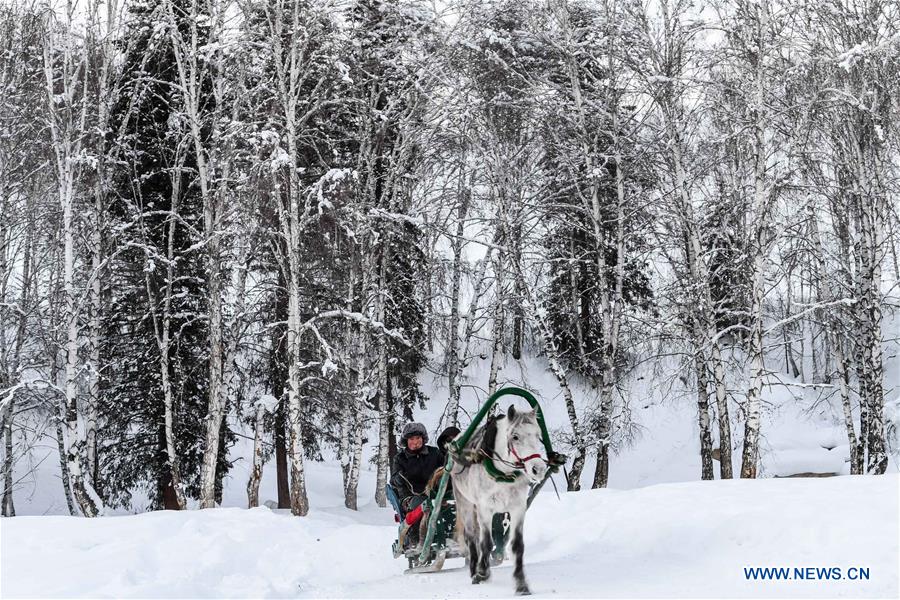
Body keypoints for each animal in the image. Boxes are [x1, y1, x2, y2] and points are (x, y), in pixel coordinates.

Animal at [450, 404, 548, 596]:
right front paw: (482, 573)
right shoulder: (485, 508)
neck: (503, 473)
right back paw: (473, 570)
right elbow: (486, 543)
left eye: (538, 435)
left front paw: (521, 584)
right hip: (465, 503)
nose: (538, 469)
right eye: (515, 436)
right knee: (471, 538)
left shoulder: (518, 508)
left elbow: (517, 545)